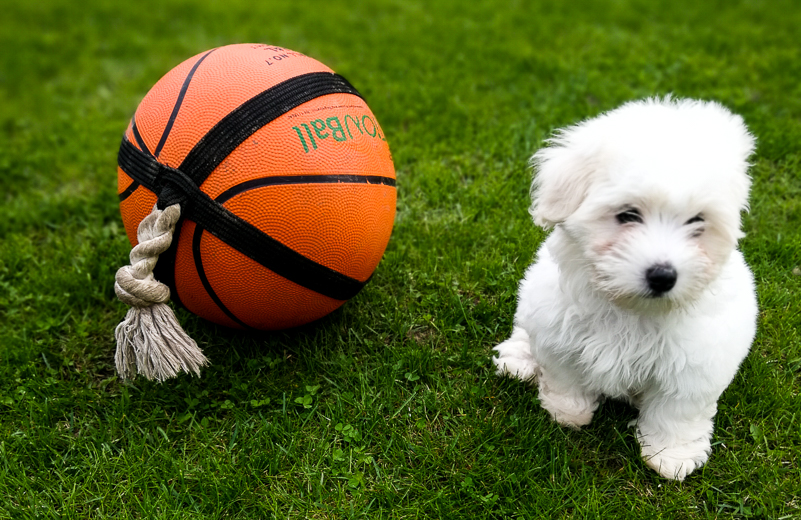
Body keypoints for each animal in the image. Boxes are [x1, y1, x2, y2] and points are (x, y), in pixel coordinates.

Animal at [490, 96, 760, 480]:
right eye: (628, 215)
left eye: (698, 221)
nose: (663, 276)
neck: (631, 308)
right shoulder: (559, 334)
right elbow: (564, 375)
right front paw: (567, 413)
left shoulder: (695, 364)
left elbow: (678, 412)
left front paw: (671, 456)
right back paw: (519, 358)